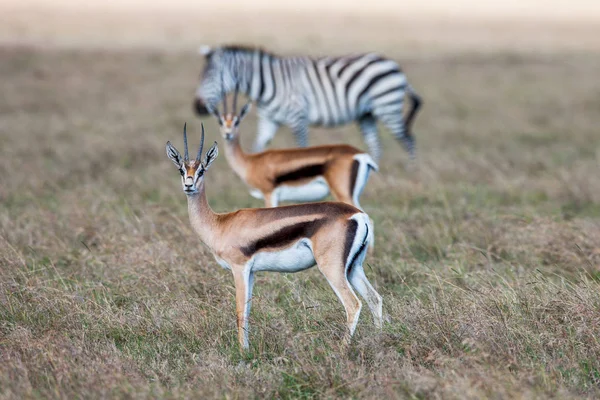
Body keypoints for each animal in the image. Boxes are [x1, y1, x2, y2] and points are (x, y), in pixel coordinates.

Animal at [192, 46, 422, 165]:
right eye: (200, 76)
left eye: (210, 77)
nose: (197, 107)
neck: (269, 84)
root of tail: (394, 65)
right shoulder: (268, 120)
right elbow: (258, 147)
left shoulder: (297, 117)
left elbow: (301, 149)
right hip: (367, 114)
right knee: (376, 144)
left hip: (387, 105)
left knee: (409, 140)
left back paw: (412, 174)